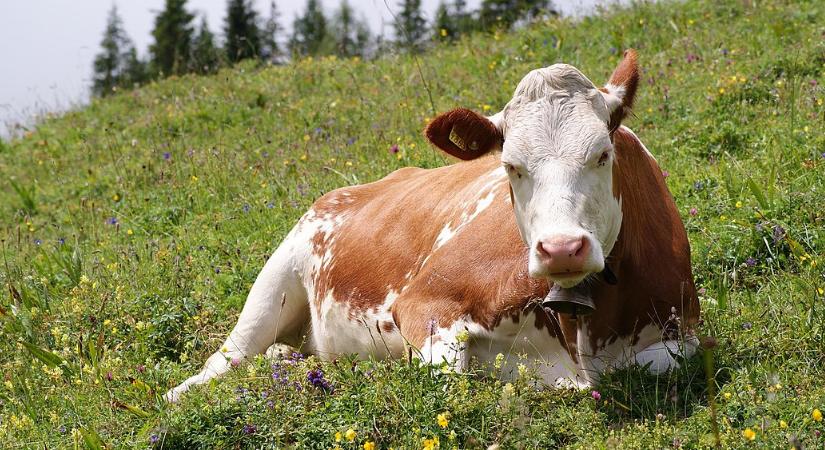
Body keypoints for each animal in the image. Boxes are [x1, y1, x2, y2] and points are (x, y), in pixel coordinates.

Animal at [167, 51, 700, 402]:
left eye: (602, 154)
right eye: (510, 166)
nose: (562, 248)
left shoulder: (684, 333)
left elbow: (662, 362)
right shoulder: (424, 303)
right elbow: (449, 378)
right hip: (277, 277)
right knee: (227, 359)